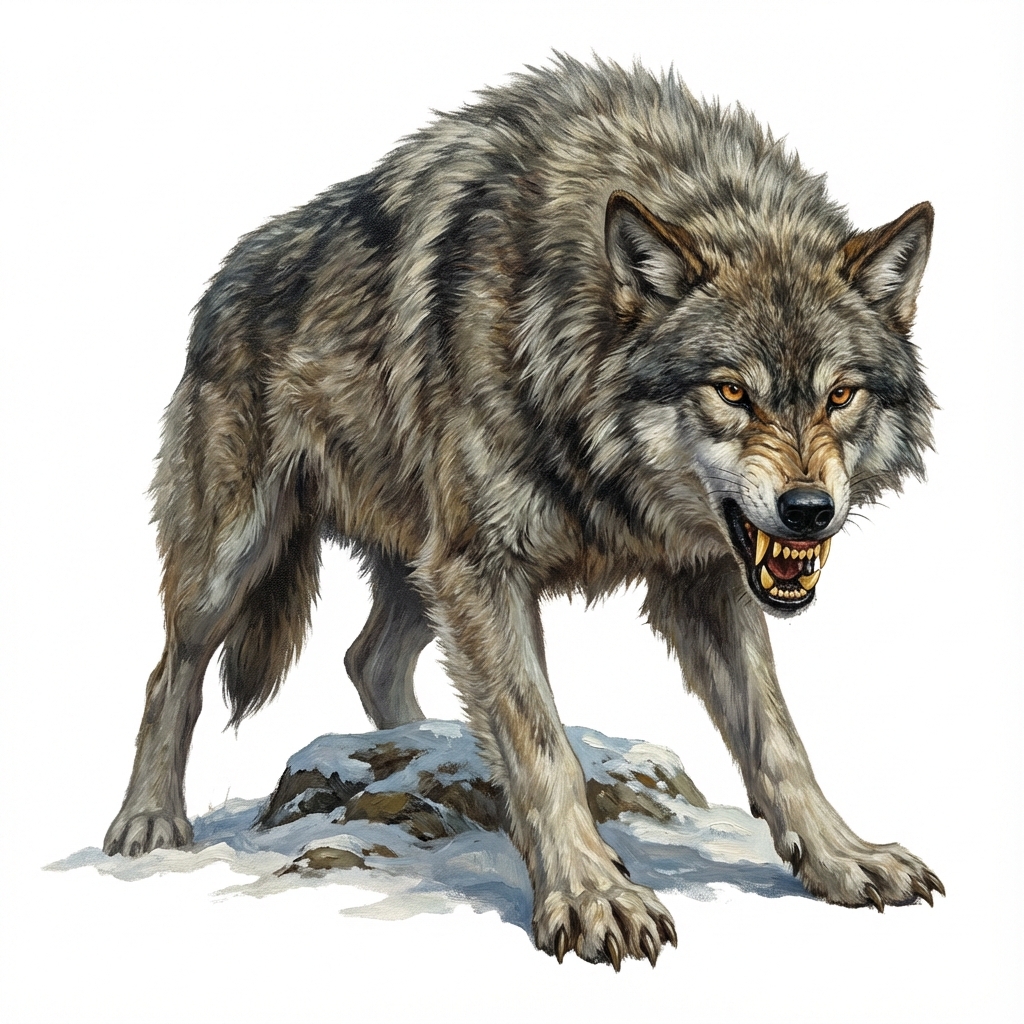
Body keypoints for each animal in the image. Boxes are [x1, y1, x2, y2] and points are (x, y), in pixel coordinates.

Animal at [104, 55, 943, 968]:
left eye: (840, 395)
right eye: (731, 391)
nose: (808, 510)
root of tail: (227, 275)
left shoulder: (699, 576)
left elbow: (780, 740)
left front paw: (842, 857)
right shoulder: (485, 566)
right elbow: (542, 746)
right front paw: (591, 895)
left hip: (420, 567)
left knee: (369, 660)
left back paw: (426, 753)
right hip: (242, 560)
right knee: (170, 675)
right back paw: (147, 821)